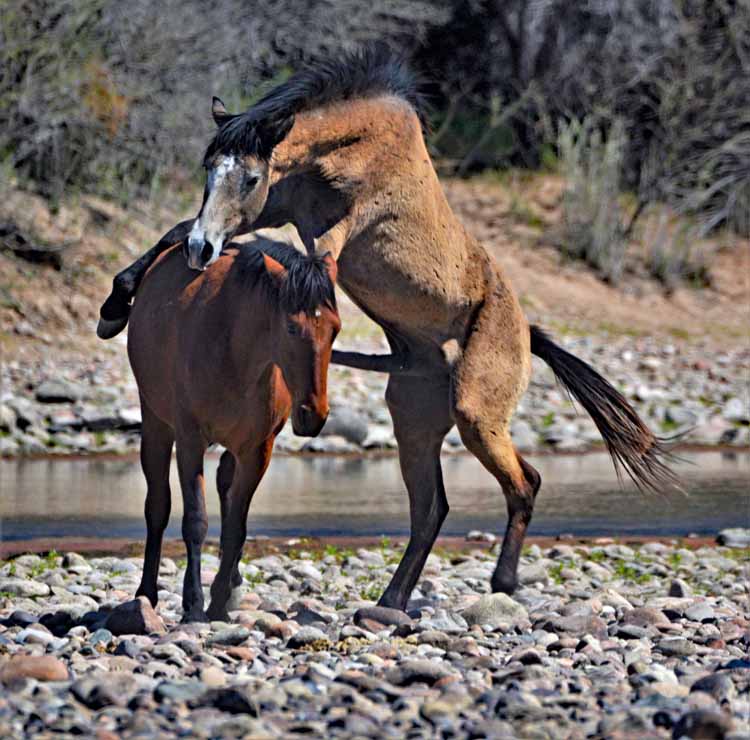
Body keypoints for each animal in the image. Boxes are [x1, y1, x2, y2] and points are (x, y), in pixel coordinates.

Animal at [129, 237, 340, 620]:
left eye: (335, 329)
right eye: (291, 327)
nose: (313, 414)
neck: (236, 352)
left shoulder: (257, 450)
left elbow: (236, 528)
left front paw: (218, 603)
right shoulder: (190, 440)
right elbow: (195, 520)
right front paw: (194, 603)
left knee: (225, 488)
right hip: (155, 423)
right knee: (158, 506)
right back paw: (146, 593)